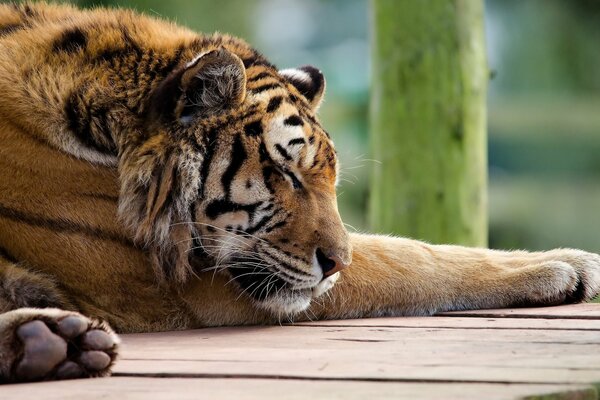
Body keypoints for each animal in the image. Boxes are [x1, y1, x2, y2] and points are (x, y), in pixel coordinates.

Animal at [1, 1, 600, 384]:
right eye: (284, 174)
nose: (335, 263)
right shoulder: (167, 278)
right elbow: (407, 258)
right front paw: (566, 264)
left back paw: (51, 342)